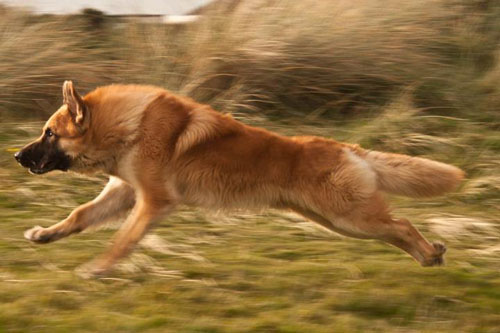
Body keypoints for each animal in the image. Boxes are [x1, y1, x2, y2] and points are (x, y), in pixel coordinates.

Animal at [13, 81, 462, 276]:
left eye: (49, 134)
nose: (16, 156)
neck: (128, 125)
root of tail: (346, 147)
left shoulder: (153, 201)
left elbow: (122, 240)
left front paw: (99, 269)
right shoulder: (124, 192)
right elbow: (78, 216)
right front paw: (44, 235)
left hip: (349, 217)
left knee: (402, 224)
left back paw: (431, 253)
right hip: (338, 221)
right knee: (396, 230)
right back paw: (429, 256)